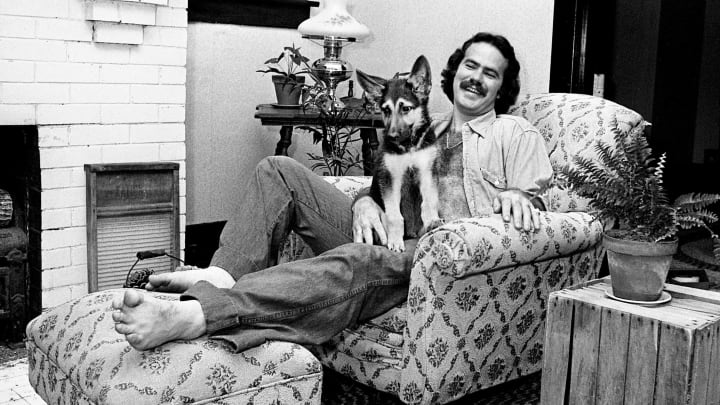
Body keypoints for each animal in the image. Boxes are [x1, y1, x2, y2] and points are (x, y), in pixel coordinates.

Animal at [358, 53, 442, 249]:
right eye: (386, 110)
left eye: (406, 108)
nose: (392, 135)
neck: (408, 147)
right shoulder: (390, 178)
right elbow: (395, 216)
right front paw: (395, 241)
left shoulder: (427, 172)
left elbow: (429, 203)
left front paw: (432, 222)